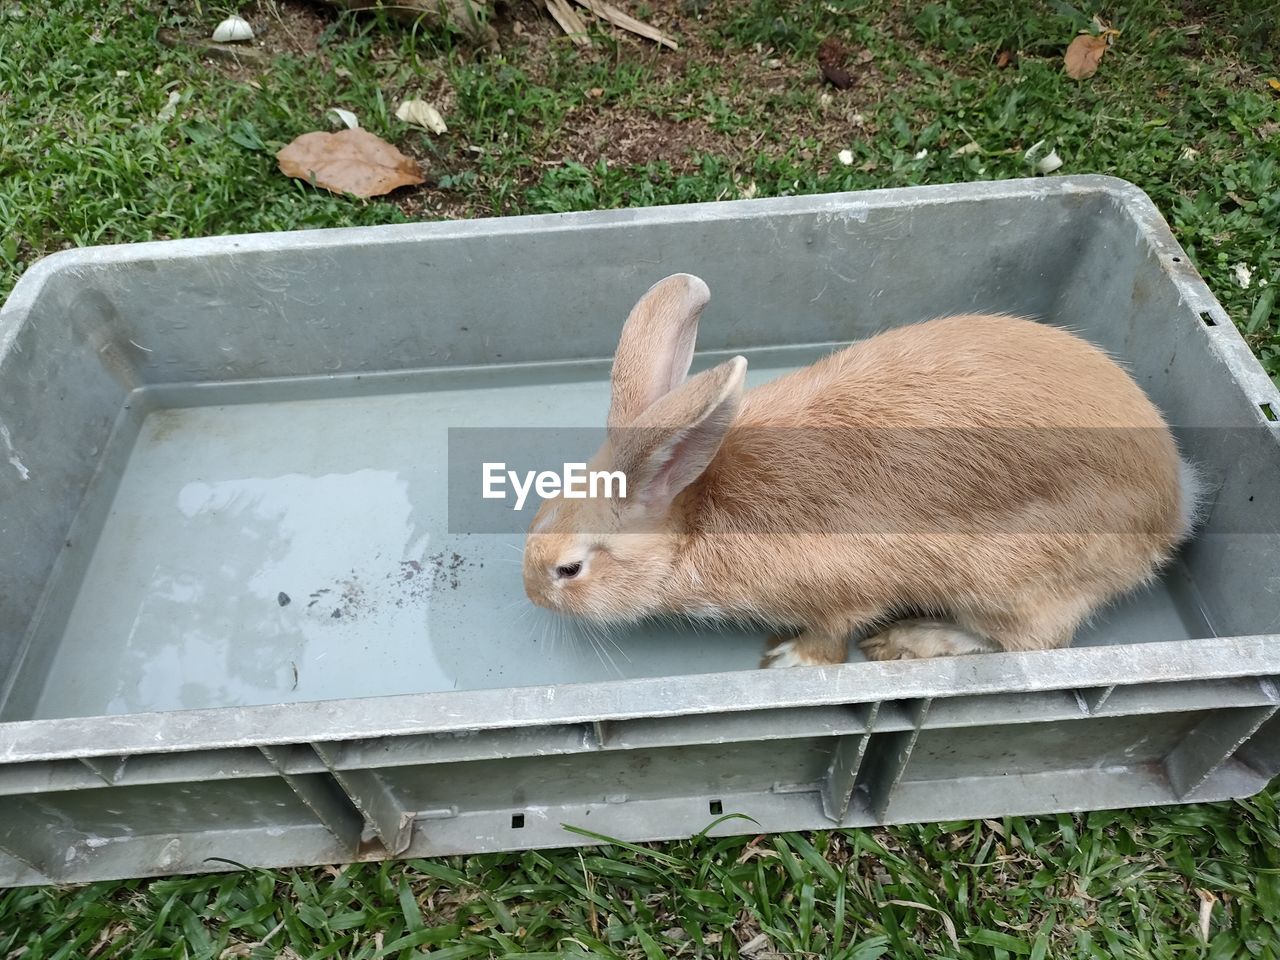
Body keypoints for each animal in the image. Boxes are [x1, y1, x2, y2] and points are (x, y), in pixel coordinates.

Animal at [522, 268, 1198, 660]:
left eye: (569, 569)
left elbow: (833, 631)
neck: (690, 519)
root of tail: (1172, 509)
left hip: (1008, 580)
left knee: (1031, 641)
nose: (529, 592)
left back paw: (912, 640)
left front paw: (789, 659)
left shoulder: (839, 588)